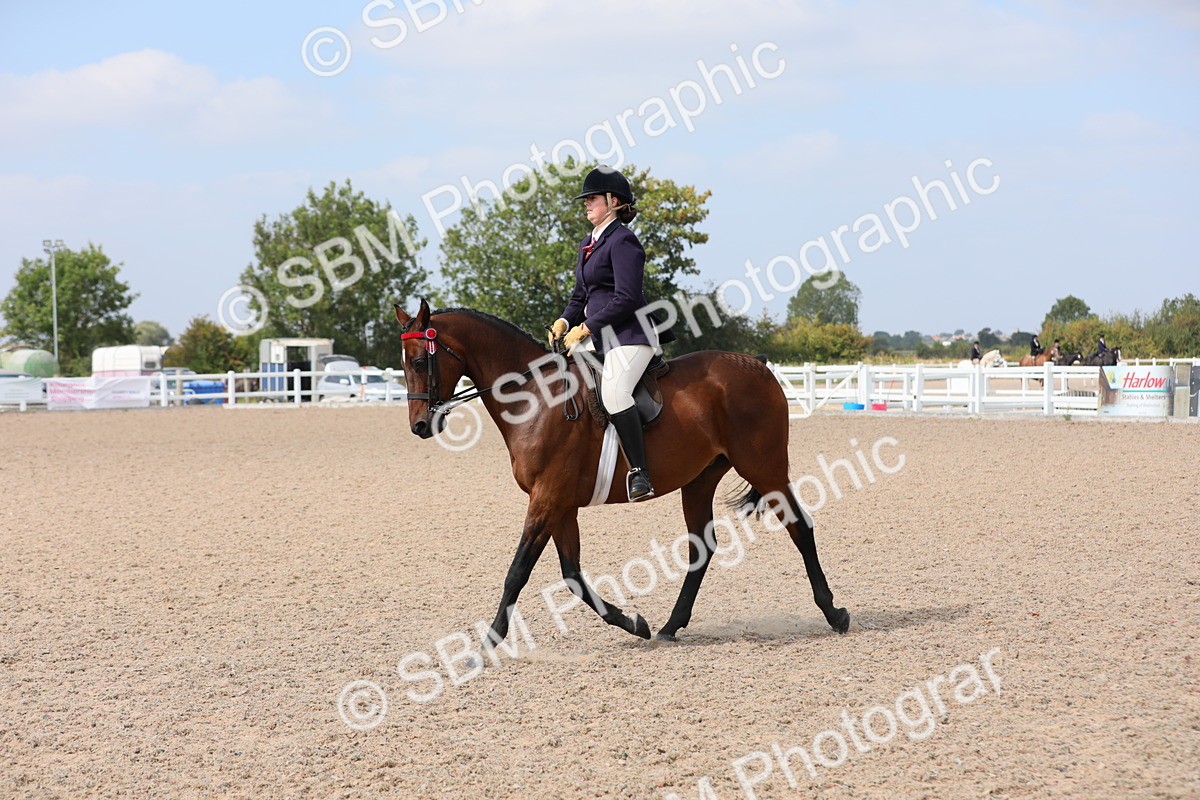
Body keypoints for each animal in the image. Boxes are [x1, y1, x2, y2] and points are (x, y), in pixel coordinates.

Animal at [393, 300, 850, 645]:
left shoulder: (547, 498)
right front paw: (634, 623)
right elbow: (572, 575)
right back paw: (669, 627)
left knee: (800, 527)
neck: (536, 399)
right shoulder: (560, 505)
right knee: (702, 548)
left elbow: (518, 572)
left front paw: (487, 644)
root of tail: (756, 364)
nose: (420, 426)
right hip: (700, 480)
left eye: (418, 361)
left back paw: (834, 613)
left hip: (764, 467)